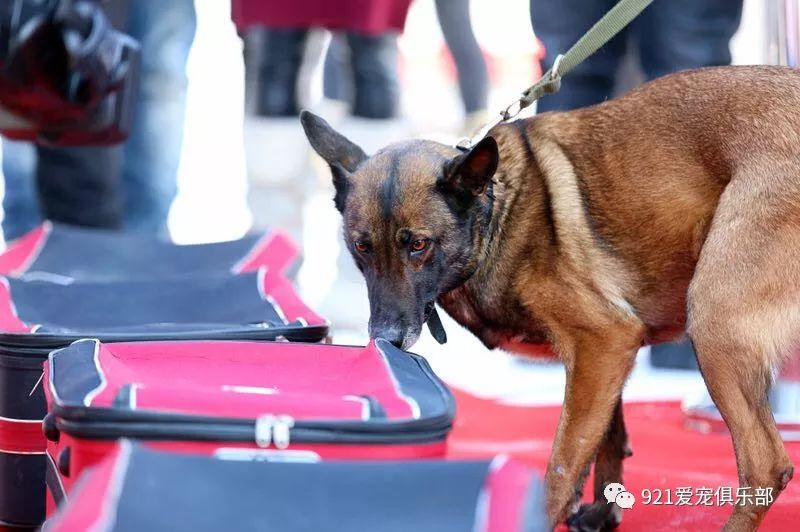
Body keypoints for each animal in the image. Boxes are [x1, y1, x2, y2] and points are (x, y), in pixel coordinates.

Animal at [302, 66, 800, 532]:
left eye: (418, 245)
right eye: (362, 247)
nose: (385, 339)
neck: (495, 211)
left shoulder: (602, 341)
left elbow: (563, 460)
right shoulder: (609, 350)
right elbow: (605, 434)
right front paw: (603, 509)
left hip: (714, 323)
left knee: (765, 465)